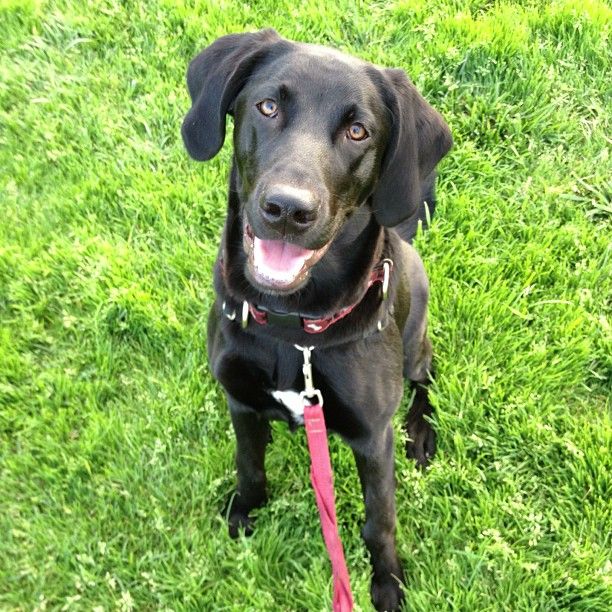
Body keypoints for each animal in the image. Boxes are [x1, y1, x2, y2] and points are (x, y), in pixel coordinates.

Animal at [181, 29, 452, 611]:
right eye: (268, 106)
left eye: (358, 131)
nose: (288, 209)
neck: (292, 331)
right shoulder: (241, 401)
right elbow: (250, 466)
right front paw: (244, 514)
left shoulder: (373, 437)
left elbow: (379, 522)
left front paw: (387, 582)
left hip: (416, 340)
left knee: (425, 380)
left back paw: (422, 431)